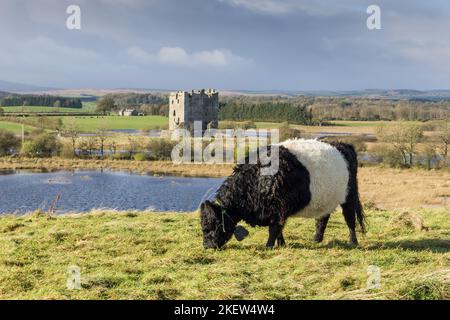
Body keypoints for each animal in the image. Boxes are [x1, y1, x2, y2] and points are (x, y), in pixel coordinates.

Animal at [200, 139, 366, 249]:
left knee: (350, 219)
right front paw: (281, 244)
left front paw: (269, 246)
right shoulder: (276, 211)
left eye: (212, 224)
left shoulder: (279, 208)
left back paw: (353, 241)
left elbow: (274, 228)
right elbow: (279, 229)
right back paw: (316, 239)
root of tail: (342, 144)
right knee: (323, 218)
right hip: (326, 198)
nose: (207, 246)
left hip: (349, 196)